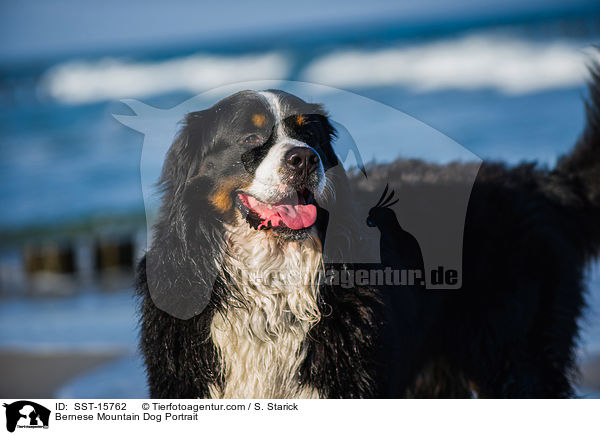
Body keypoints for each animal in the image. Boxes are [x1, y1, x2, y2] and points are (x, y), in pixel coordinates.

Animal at [136, 67, 600, 398]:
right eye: (251, 137)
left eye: (309, 134)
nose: (304, 159)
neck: (270, 284)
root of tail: (538, 181)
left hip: (516, 357)